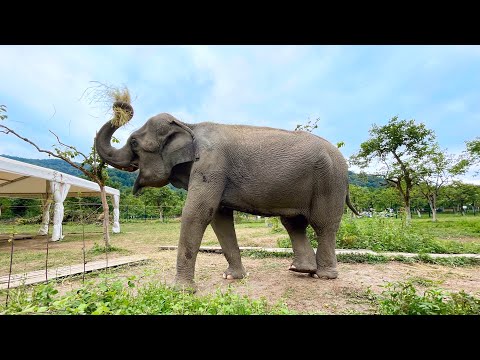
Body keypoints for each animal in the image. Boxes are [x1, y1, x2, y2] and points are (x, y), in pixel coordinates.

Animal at [95, 101, 360, 292]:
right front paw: (232, 277)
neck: (188, 124)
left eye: (134, 142)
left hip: (329, 181)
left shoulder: (212, 165)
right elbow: (219, 218)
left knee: (323, 225)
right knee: (294, 224)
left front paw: (180, 291)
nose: (121, 104)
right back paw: (300, 270)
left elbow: (198, 213)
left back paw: (324, 276)